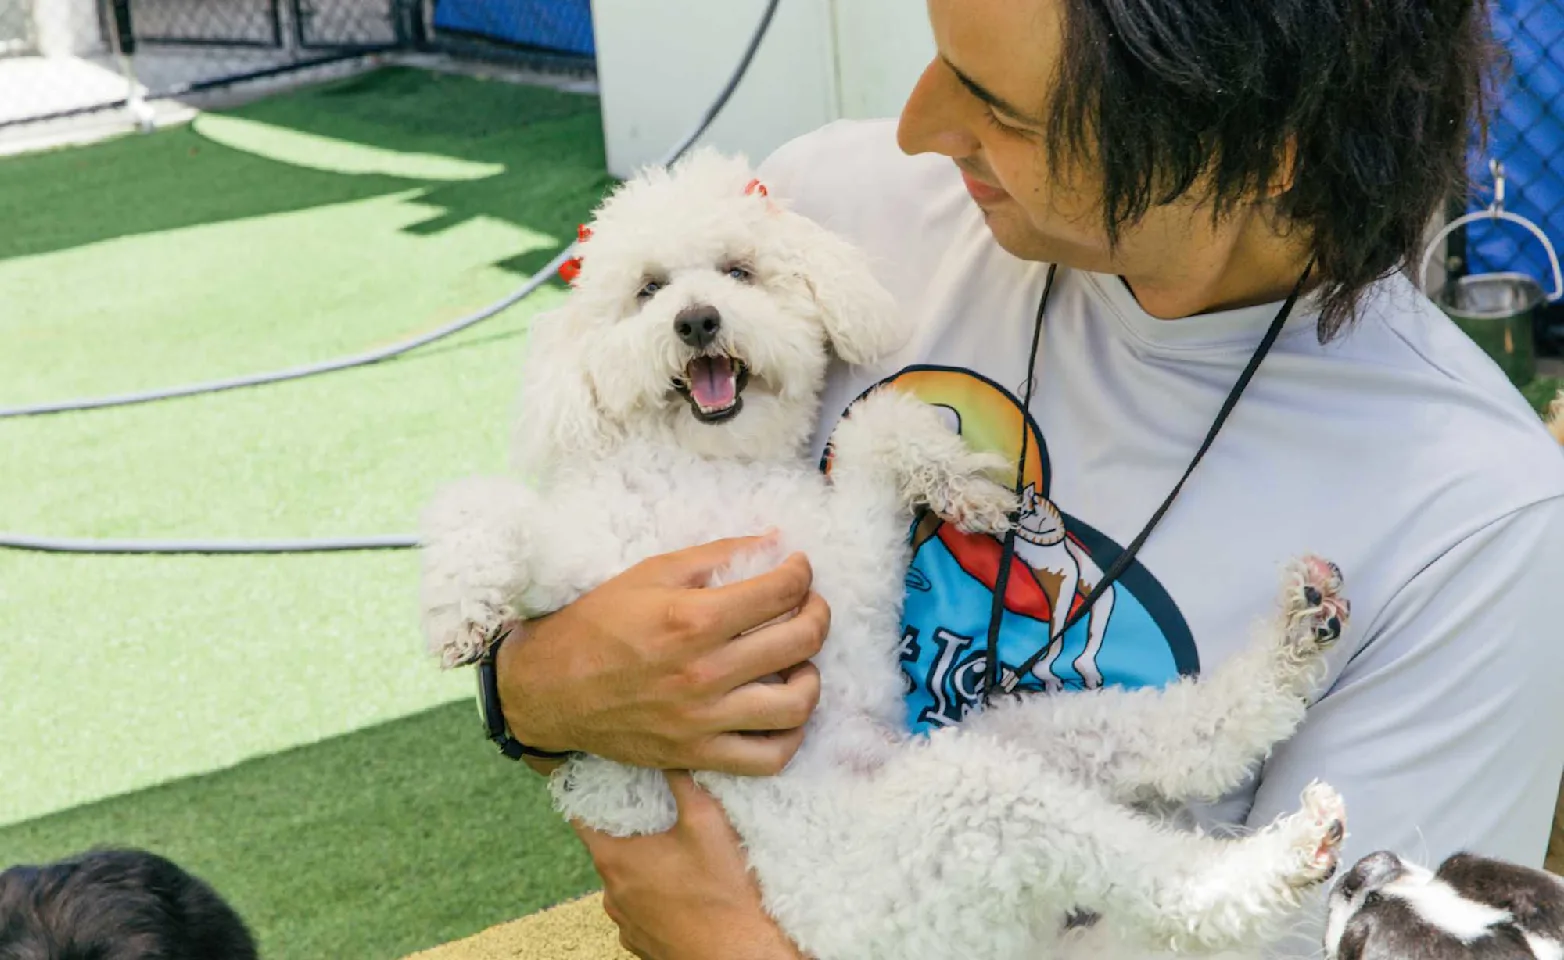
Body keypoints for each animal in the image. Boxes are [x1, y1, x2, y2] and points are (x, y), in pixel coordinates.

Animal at [422, 148, 1351, 960]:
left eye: (738, 272)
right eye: (647, 290)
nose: (696, 320)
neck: (711, 473)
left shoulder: (848, 583)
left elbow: (879, 426)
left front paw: (966, 489)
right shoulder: (597, 566)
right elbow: (478, 505)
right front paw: (458, 618)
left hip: (1011, 749)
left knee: (1189, 756)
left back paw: (1296, 656)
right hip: (979, 792)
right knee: (1175, 838)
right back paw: (1282, 825)